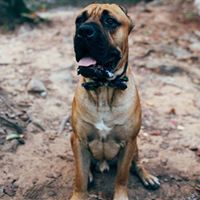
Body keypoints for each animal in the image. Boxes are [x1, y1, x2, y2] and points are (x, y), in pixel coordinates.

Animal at [70, 3, 159, 200]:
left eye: (109, 21)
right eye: (79, 20)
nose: (83, 31)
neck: (104, 89)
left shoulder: (129, 143)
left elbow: (122, 176)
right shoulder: (79, 140)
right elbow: (79, 177)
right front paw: (79, 192)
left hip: (136, 146)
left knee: (137, 163)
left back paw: (147, 176)